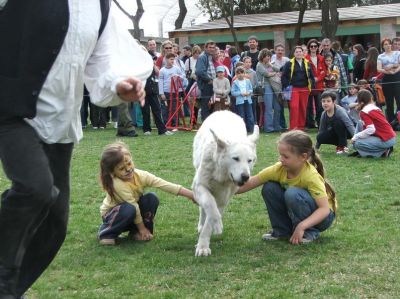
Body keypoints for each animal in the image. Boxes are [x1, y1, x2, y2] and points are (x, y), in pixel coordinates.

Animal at [191, 111, 260, 256]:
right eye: (235, 158)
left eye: (249, 160)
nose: (245, 177)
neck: (221, 174)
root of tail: (224, 111)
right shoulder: (199, 185)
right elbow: (209, 205)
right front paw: (216, 224)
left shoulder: (224, 197)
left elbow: (212, 216)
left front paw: (203, 245)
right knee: (203, 207)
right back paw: (201, 224)